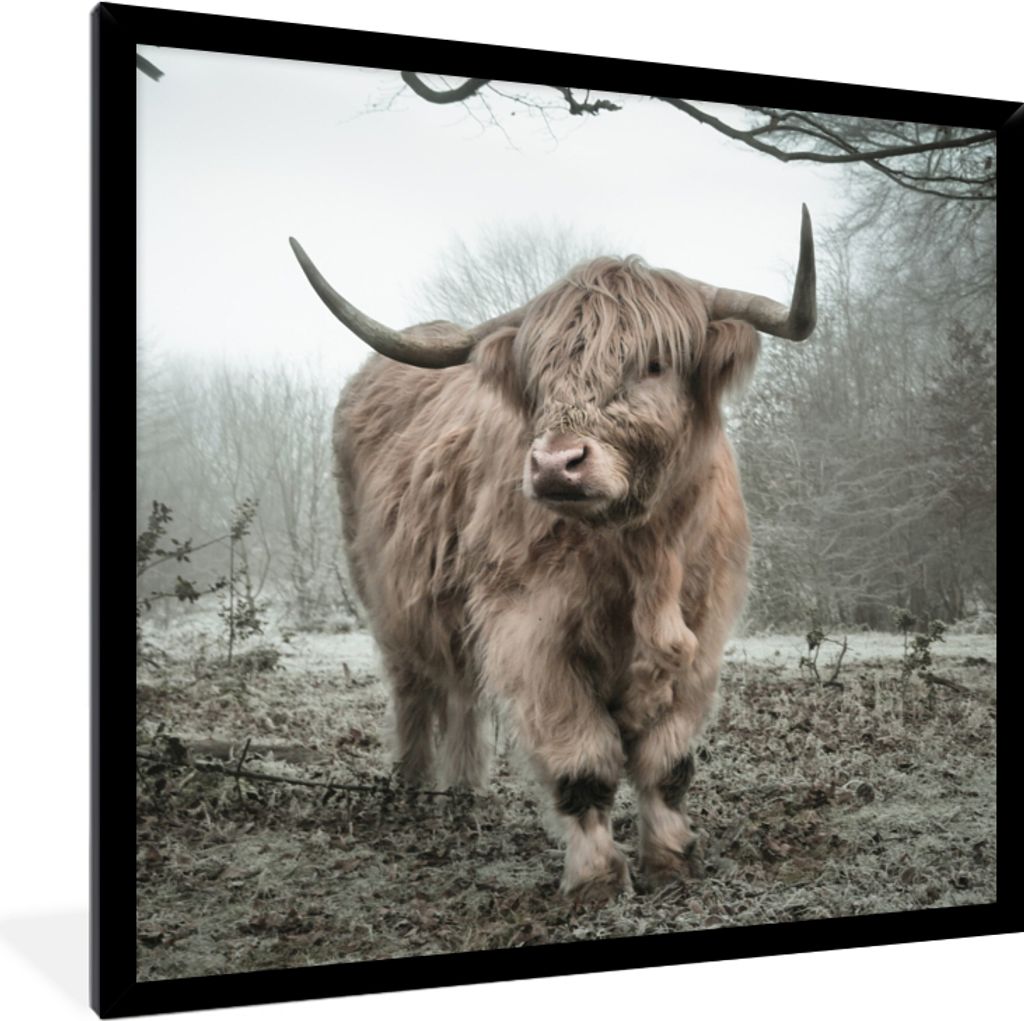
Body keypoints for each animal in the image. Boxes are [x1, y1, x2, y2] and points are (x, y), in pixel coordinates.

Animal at [289, 208, 816, 900]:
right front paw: (596, 879)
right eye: (538, 374)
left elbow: (667, 762)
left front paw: (672, 860)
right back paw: (414, 791)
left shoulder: (703, 632)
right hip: (388, 603)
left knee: (461, 693)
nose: (555, 465)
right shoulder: (530, 633)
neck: (642, 556)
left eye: (654, 363)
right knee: (415, 692)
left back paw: (464, 794)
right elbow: (583, 761)